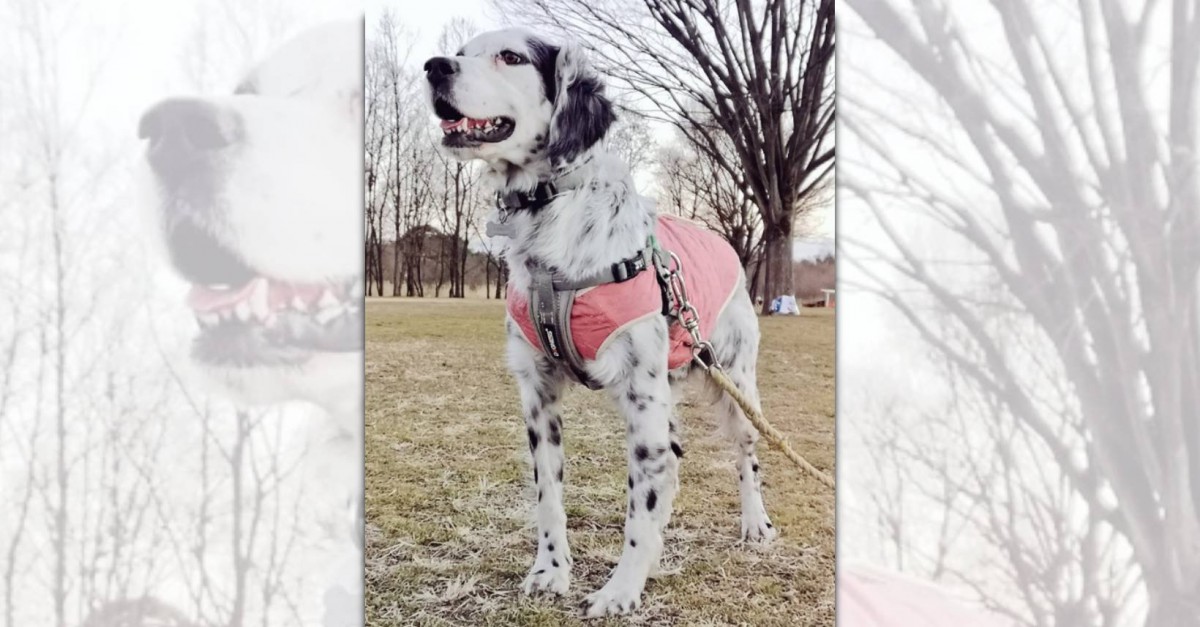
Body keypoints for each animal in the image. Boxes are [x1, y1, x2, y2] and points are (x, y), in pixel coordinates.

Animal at [427, 26, 772, 612]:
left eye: (511, 56)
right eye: (461, 51)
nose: (433, 67)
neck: (549, 211)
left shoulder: (641, 393)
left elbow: (640, 503)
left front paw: (622, 588)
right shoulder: (538, 393)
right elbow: (549, 495)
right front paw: (550, 571)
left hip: (734, 382)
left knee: (743, 456)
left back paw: (756, 525)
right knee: (671, 462)